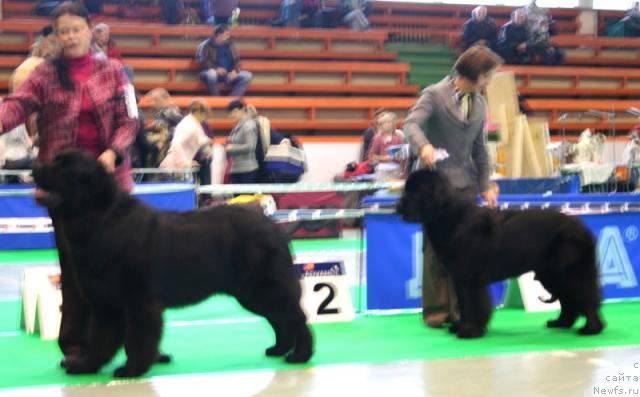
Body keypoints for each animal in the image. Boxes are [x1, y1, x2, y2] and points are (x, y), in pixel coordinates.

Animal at [32, 149, 312, 378]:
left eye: (65, 168)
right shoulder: (104, 302)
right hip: (252, 294)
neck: (99, 218)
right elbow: (100, 339)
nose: (34, 169)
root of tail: (275, 228)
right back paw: (279, 349)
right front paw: (85, 366)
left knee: (296, 318)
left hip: (265, 288)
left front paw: (132, 369)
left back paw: (301, 356)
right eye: (56, 159)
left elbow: (139, 337)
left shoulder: (138, 300)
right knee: (280, 320)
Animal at [396, 169, 604, 338]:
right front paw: (460, 327)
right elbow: (463, 304)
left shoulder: (470, 279)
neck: (452, 219)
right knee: (568, 300)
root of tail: (583, 229)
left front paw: (470, 331)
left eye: (416, 192)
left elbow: (473, 304)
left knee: (586, 296)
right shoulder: (459, 278)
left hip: (568, 272)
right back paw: (561, 323)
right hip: (551, 275)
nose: (398, 206)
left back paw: (591, 329)